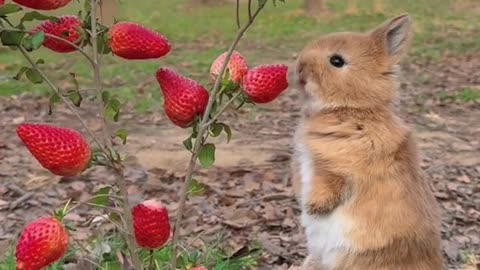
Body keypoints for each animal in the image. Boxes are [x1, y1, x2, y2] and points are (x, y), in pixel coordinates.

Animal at [288, 14, 442, 270]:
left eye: (337, 61)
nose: (299, 69)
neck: (353, 110)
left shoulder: (338, 167)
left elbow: (328, 185)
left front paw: (313, 207)